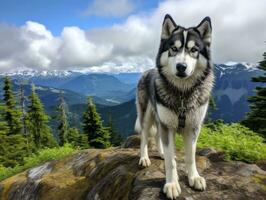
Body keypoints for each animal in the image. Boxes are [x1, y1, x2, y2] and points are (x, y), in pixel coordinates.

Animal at [135, 14, 214, 199]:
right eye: (173, 48)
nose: (181, 66)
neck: (182, 94)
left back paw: (162, 153)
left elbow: (191, 157)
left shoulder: (193, 127)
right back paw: (144, 158)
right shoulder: (167, 125)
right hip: (146, 116)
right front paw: (171, 184)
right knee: (144, 137)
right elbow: (171, 162)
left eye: (194, 50)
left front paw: (194, 177)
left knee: (158, 136)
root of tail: (146, 71)